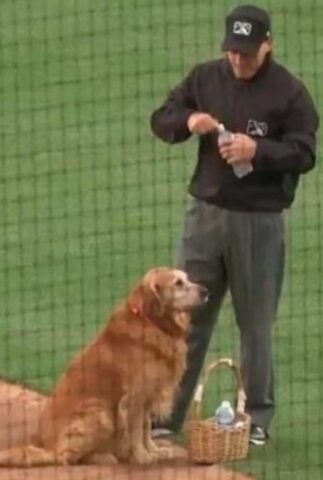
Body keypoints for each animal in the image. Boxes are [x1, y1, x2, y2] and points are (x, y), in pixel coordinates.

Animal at [0, 266, 208, 464]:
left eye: (187, 278)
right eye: (178, 283)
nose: (205, 291)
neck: (151, 323)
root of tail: (46, 446)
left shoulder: (149, 392)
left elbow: (146, 425)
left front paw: (154, 450)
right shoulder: (135, 396)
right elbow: (136, 429)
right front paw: (142, 456)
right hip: (98, 410)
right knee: (64, 457)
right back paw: (103, 457)